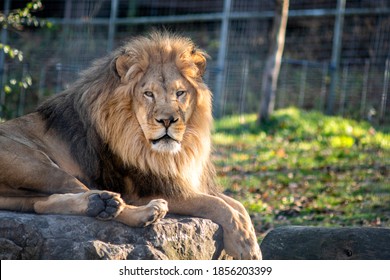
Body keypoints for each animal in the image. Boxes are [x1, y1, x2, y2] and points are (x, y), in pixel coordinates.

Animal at [0, 31, 262, 260]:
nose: (167, 120)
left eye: (180, 93)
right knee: (94, 197)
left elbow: (237, 205)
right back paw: (140, 210)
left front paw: (250, 239)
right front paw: (245, 247)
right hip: (39, 166)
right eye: (148, 94)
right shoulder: (147, 188)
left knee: (42, 204)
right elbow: (218, 205)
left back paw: (99, 205)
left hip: (25, 193)